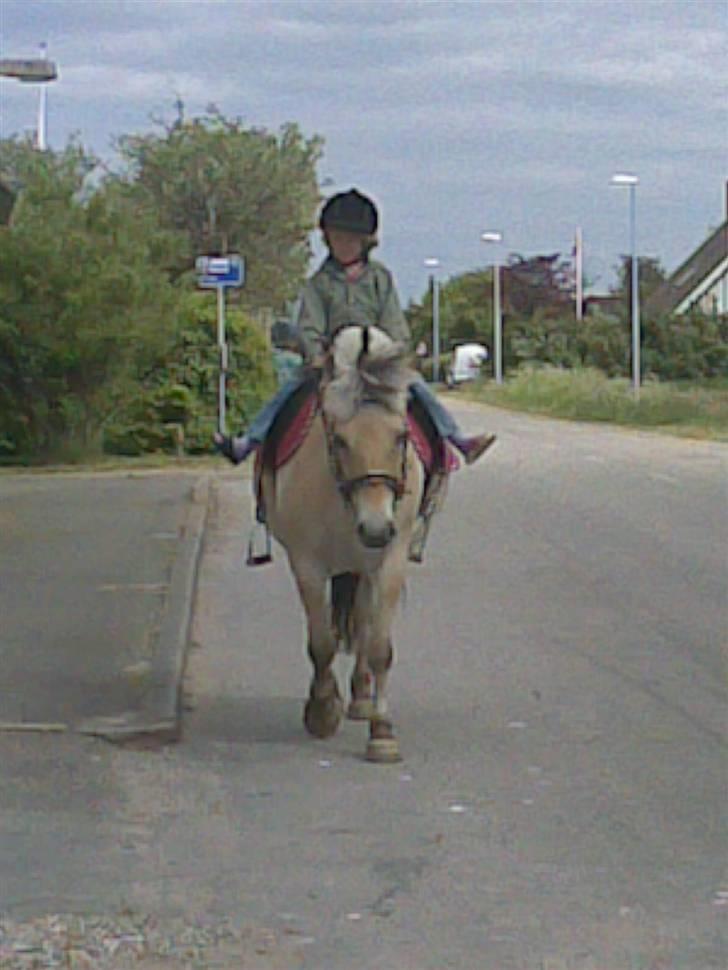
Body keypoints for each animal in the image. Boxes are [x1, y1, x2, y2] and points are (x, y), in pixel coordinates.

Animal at [260, 328, 426, 760]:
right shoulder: (307, 565)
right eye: (339, 440)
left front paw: (382, 732)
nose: (375, 528)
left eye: (402, 436)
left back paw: (362, 698)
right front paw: (321, 710)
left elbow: (380, 645)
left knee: (364, 625)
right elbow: (321, 643)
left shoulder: (389, 562)